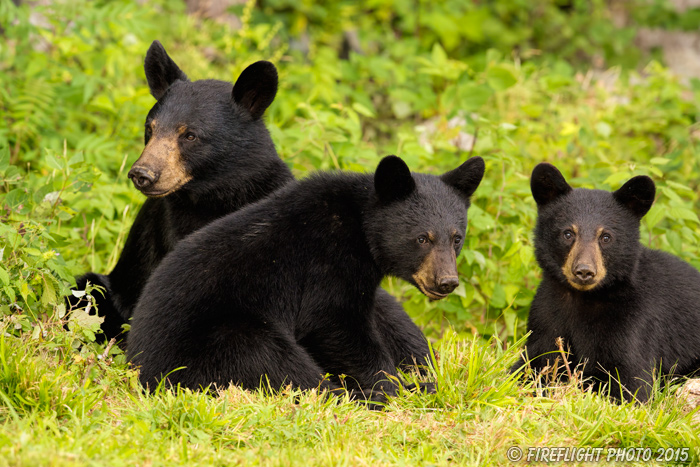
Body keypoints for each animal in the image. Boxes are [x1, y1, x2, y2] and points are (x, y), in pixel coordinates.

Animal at [129, 155, 484, 404]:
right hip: (216, 340)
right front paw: (392, 385)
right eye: (422, 238)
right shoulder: (327, 262)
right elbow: (334, 323)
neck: (359, 225)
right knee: (274, 361)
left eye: (456, 238)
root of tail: (142, 369)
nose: (446, 282)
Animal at [512, 164, 700, 402]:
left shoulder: (634, 322)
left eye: (606, 237)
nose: (584, 271)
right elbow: (532, 361)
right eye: (568, 233)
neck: (584, 297)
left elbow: (632, 382)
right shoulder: (547, 313)